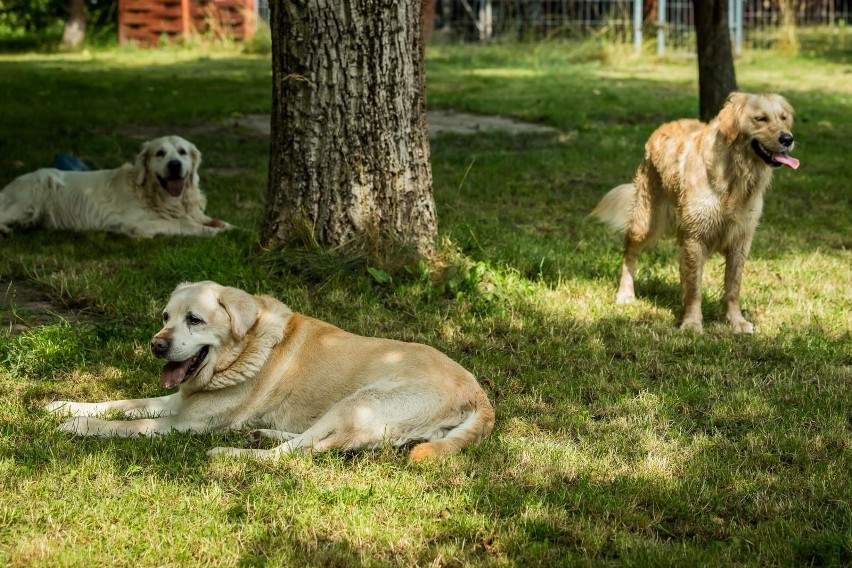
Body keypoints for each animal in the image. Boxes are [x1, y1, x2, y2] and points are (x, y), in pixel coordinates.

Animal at [0, 134, 231, 236]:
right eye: (160, 153)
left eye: (182, 152)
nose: (175, 165)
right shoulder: (140, 223)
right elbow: (187, 225)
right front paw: (215, 233)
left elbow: (216, 221)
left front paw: (231, 227)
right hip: (31, 198)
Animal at [46, 280, 496, 462]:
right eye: (165, 317)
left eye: (194, 320)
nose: (156, 345)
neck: (245, 350)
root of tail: (478, 394)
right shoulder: (178, 399)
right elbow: (123, 401)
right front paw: (64, 406)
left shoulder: (184, 423)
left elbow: (127, 424)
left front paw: (78, 426)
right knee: (315, 444)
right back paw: (262, 434)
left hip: (359, 402)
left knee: (299, 454)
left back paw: (233, 453)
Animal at [592, 92, 800, 332]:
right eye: (761, 118)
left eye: (783, 118)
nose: (788, 139)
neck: (736, 175)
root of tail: (662, 127)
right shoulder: (696, 236)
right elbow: (695, 288)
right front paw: (692, 323)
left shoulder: (741, 239)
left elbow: (732, 286)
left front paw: (736, 321)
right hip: (645, 222)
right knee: (629, 254)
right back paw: (625, 294)